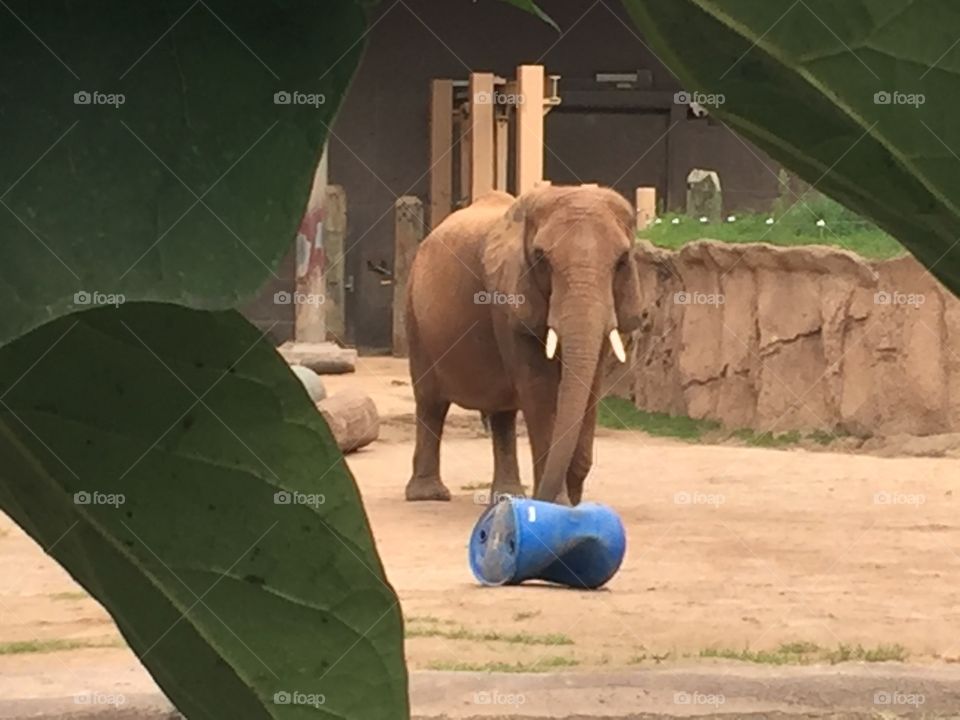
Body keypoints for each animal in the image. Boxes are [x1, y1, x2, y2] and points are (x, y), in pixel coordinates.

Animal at [404, 184, 644, 505]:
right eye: (542, 258)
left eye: (623, 260)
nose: (550, 496)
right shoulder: (508, 300)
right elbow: (539, 390)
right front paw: (557, 505)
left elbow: (590, 389)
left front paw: (572, 505)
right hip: (414, 314)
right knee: (430, 401)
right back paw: (428, 495)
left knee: (502, 412)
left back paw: (508, 497)